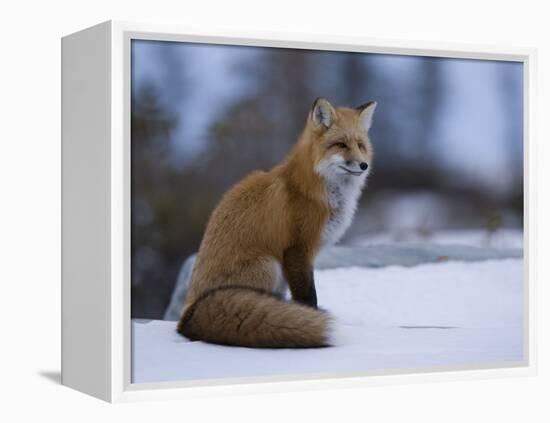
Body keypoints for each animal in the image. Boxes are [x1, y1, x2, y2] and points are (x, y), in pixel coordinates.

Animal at [179, 98, 378, 348]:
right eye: (340, 145)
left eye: (360, 145)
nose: (363, 166)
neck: (313, 189)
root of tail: (187, 314)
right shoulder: (297, 249)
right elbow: (307, 295)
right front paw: (310, 318)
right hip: (269, 266)